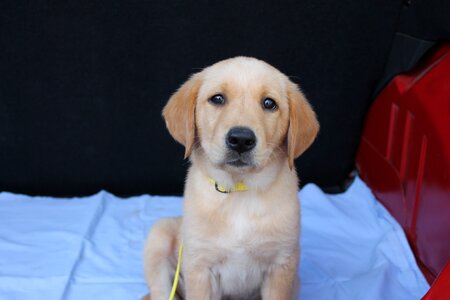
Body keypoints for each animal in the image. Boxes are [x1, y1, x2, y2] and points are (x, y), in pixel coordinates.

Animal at [142, 56, 318, 300]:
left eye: (269, 103)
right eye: (217, 99)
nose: (241, 139)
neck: (239, 191)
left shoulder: (281, 266)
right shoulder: (200, 267)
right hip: (159, 236)